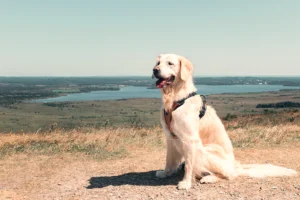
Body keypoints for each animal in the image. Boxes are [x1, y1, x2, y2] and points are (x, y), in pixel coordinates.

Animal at [154, 54, 296, 190]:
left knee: (229, 175)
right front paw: (165, 173)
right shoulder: (170, 137)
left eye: (170, 63)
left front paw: (186, 183)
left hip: (207, 151)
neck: (175, 98)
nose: (155, 70)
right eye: (158, 62)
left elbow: (189, 165)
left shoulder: (191, 139)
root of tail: (235, 166)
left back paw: (209, 178)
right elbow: (169, 160)